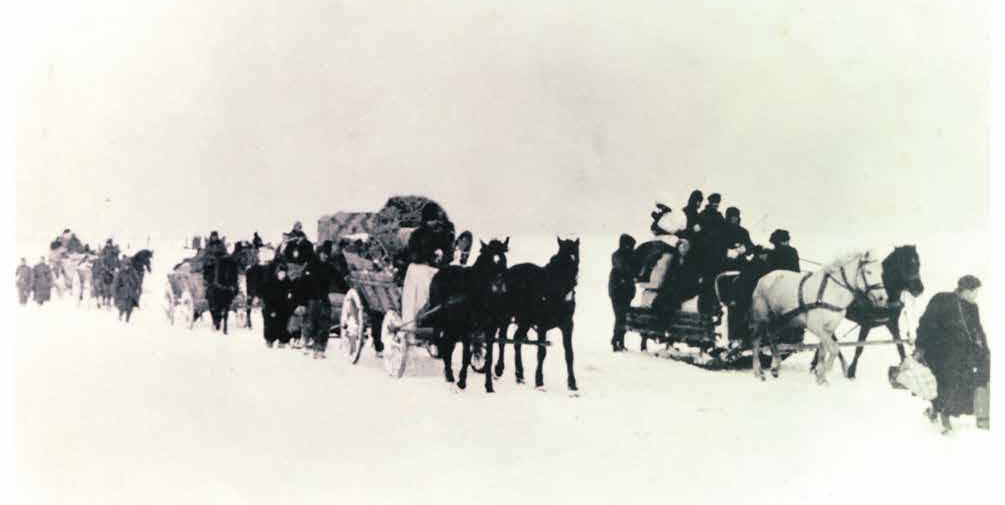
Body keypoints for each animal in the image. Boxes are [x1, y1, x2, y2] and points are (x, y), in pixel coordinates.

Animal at [426, 238, 510, 392]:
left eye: (503, 260)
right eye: (489, 261)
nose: (499, 286)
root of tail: (442, 270)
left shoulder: (490, 330)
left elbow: (489, 358)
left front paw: (489, 386)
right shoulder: (466, 328)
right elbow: (465, 356)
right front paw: (462, 382)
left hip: (453, 326)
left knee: (448, 345)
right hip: (446, 322)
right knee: (446, 345)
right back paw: (450, 375)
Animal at [494, 238, 582, 392]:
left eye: (575, 257)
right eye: (559, 259)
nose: (573, 282)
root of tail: (508, 271)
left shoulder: (567, 326)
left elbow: (569, 354)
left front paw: (572, 383)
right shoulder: (542, 326)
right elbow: (541, 352)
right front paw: (539, 381)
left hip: (525, 321)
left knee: (517, 339)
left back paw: (519, 374)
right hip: (506, 316)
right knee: (502, 339)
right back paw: (499, 368)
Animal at [751, 250, 884, 384]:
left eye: (881, 272)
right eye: (868, 272)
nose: (882, 298)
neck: (830, 291)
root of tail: (763, 278)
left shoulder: (829, 328)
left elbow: (823, 351)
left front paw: (821, 377)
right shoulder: (815, 326)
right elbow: (834, 349)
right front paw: (825, 370)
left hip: (781, 320)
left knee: (771, 337)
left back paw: (775, 366)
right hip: (761, 318)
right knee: (756, 341)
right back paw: (758, 372)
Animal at [812, 244, 920, 378]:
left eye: (918, 264)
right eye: (905, 264)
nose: (920, 288)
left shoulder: (891, 323)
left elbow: (900, 346)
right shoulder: (866, 324)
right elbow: (859, 348)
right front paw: (851, 372)